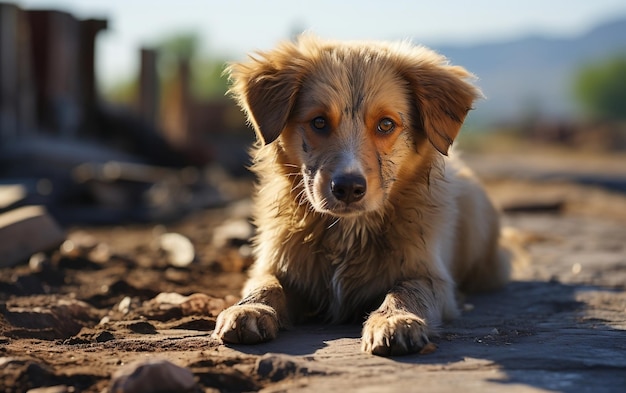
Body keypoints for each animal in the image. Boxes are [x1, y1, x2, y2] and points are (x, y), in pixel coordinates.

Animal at [212, 35, 510, 356]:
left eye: (386, 124)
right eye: (319, 122)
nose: (348, 188)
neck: (346, 234)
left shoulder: (432, 275)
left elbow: (408, 290)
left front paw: (395, 320)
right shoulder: (275, 262)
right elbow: (266, 283)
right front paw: (250, 309)